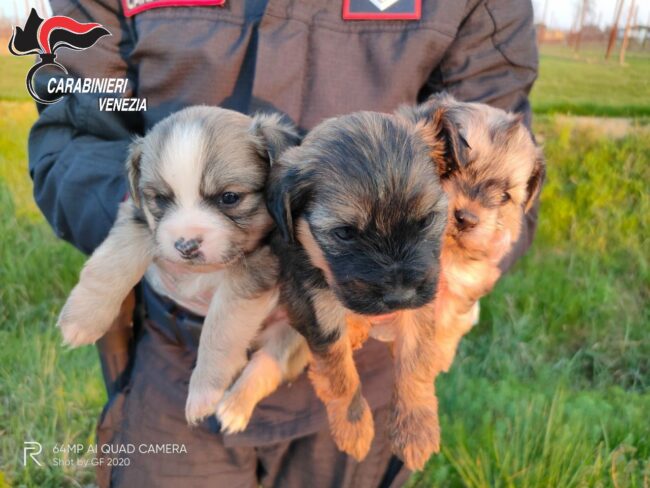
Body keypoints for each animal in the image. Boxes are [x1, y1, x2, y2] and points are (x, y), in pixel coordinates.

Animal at [264, 110, 450, 466]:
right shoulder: (316, 310)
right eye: (345, 233)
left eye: (426, 220)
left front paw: (415, 429)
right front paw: (354, 428)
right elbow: (339, 374)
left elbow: (415, 357)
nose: (399, 297)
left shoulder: (422, 300)